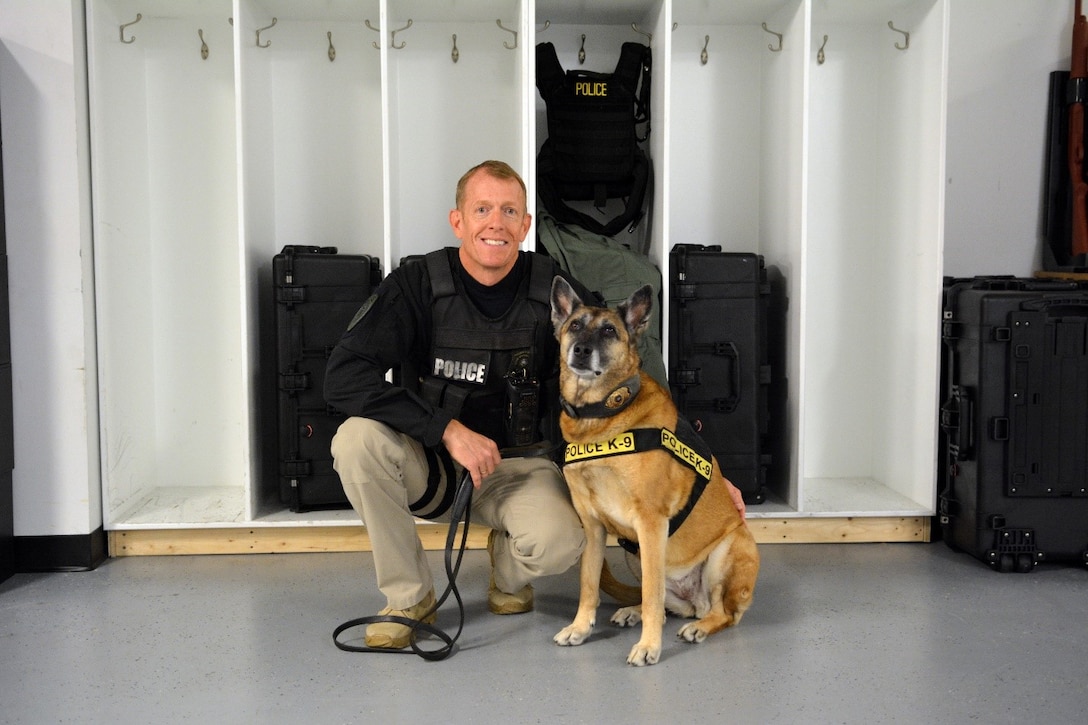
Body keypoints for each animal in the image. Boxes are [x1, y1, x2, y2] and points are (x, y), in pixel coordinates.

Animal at [548, 276, 761, 666]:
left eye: (609, 330)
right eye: (574, 326)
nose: (581, 351)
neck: (603, 415)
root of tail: (695, 602)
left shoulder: (650, 522)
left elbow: (650, 594)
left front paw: (649, 647)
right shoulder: (594, 527)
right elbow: (589, 585)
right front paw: (581, 628)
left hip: (725, 551)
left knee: (720, 613)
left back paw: (698, 627)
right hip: (636, 552)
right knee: (663, 604)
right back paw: (635, 612)